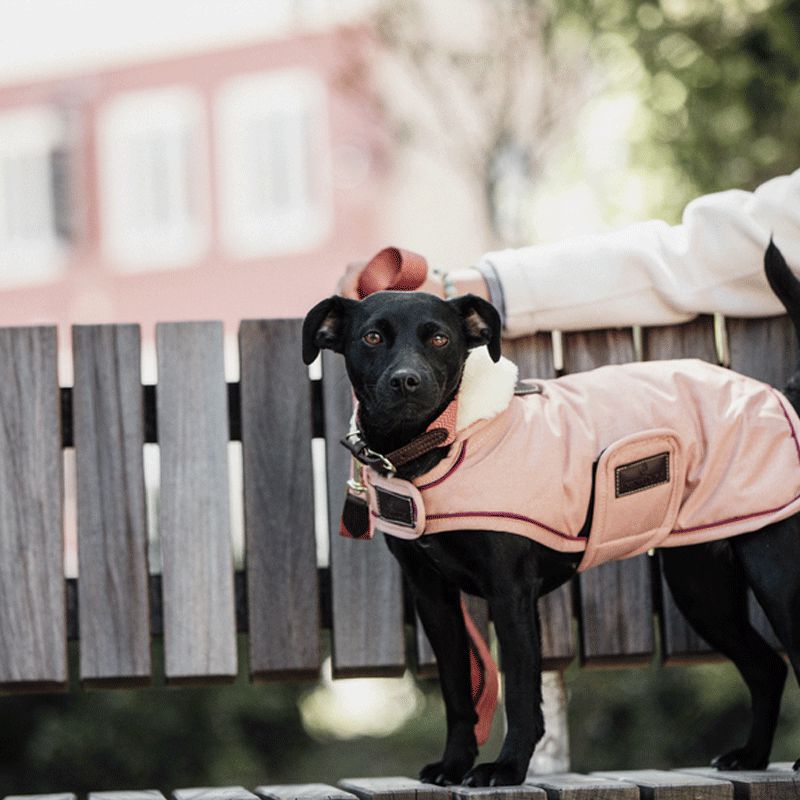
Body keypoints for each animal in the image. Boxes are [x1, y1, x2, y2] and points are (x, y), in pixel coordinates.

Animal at [304, 242, 800, 780]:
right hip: (701, 587)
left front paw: (506, 767)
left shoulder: (510, 594)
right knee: (767, 667)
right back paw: (751, 755)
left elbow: (522, 692)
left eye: (439, 338)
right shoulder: (433, 598)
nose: (406, 381)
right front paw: (455, 764)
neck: (441, 445)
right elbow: (459, 693)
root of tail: (777, 396)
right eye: (372, 337)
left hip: (774, 575)